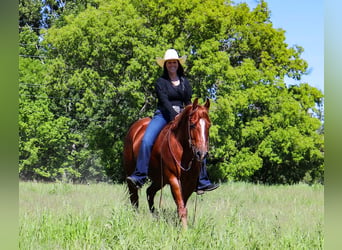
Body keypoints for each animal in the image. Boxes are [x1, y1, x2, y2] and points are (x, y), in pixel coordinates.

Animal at [121, 97, 210, 229]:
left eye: (209, 125)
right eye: (192, 124)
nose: (201, 154)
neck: (182, 149)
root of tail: (135, 128)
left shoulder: (190, 182)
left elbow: (182, 205)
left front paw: (180, 225)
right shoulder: (173, 179)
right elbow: (181, 207)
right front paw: (184, 230)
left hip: (159, 179)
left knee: (150, 192)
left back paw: (155, 217)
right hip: (131, 172)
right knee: (134, 196)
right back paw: (135, 217)